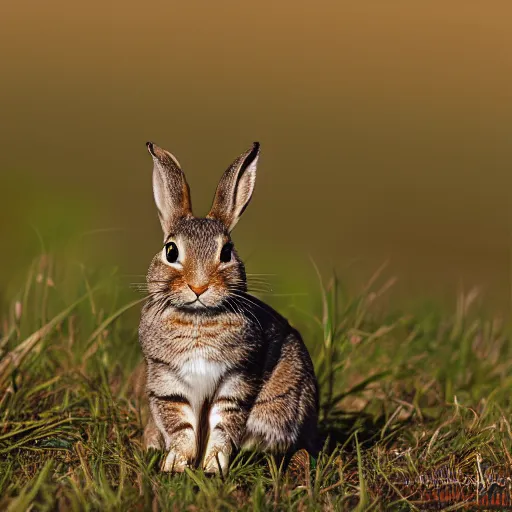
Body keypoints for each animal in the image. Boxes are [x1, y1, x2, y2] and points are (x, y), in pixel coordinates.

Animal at [138, 141, 318, 476]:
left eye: (226, 253)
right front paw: (176, 464)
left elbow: (222, 425)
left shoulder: (235, 380)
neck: (198, 318)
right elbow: (181, 427)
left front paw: (212, 467)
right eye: (171, 251)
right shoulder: (168, 380)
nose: (198, 287)